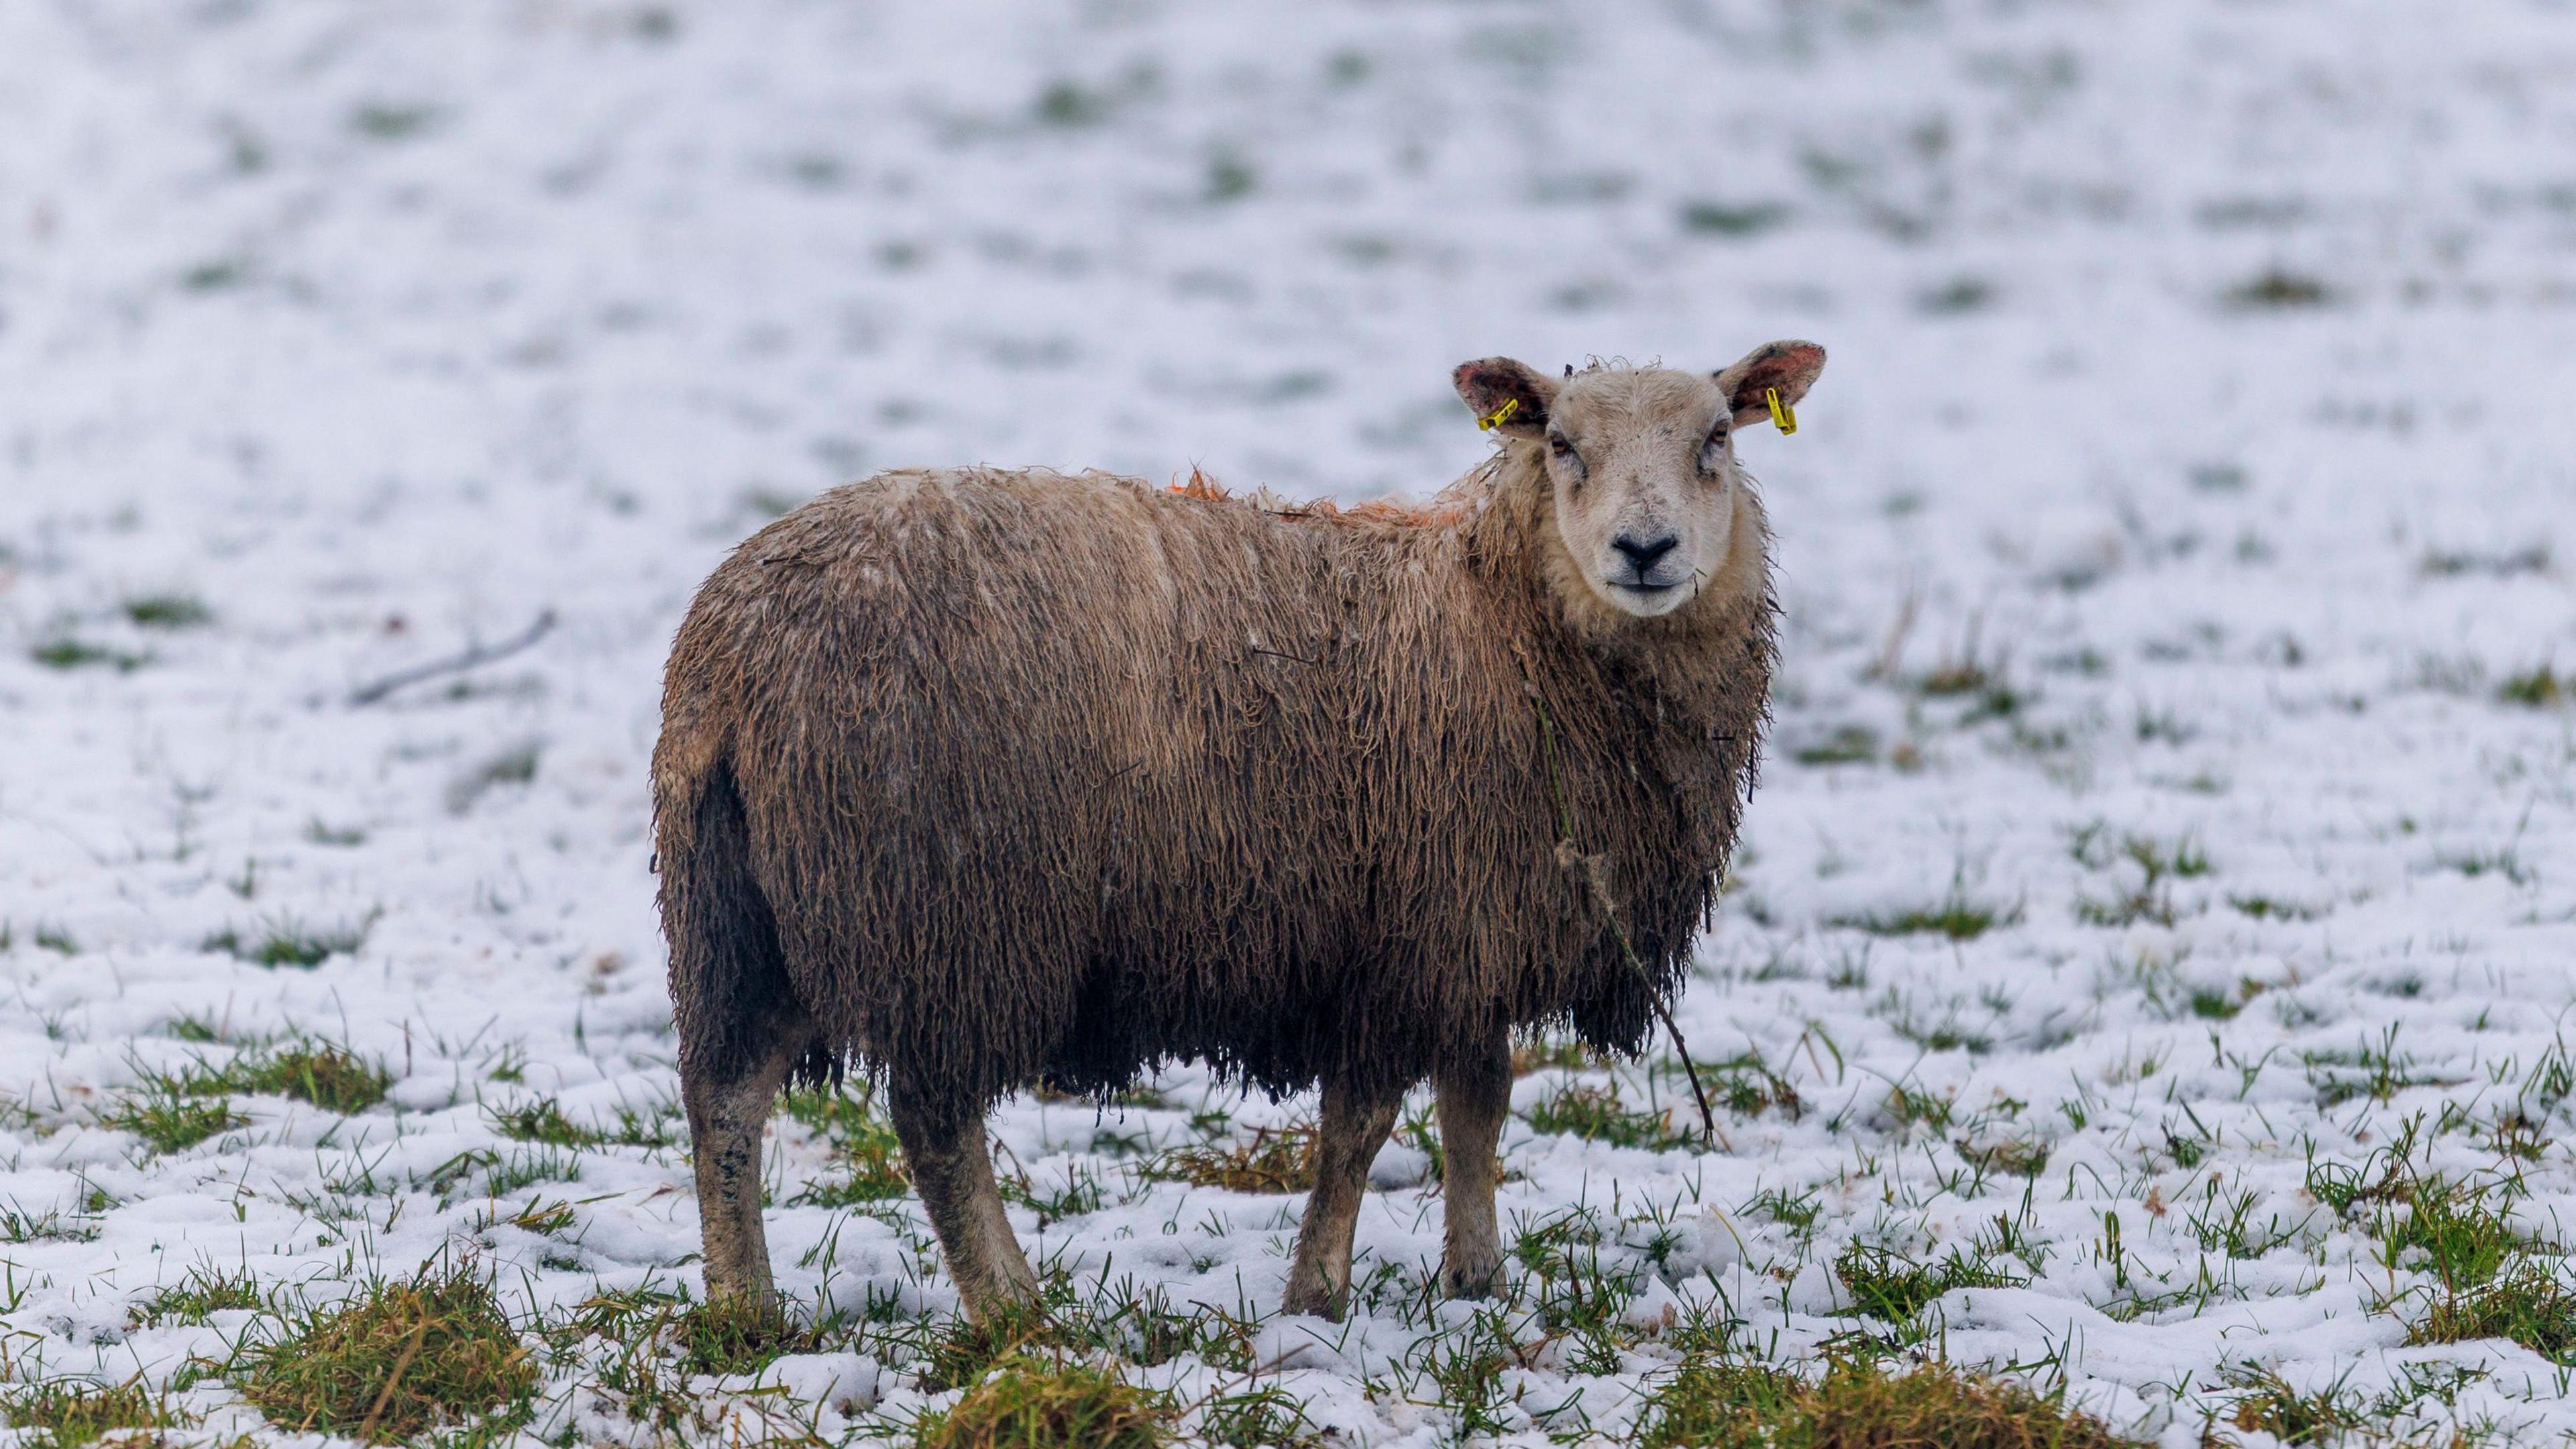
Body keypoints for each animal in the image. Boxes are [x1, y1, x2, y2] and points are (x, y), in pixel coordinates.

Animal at [652, 342, 1825, 1322]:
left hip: (737, 909)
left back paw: (745, 1311)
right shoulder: (1405, 935)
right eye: (1564, 445)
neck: (1510, 620)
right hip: (950, 904)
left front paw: (1477, 1278)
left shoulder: (1468, 933)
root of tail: (736, 655)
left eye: (1716, 440)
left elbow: (1476, 1106)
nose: (1645, 548)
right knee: (933, 1120)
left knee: (724, 1099)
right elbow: (1360, 1125)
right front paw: (1318, 1291)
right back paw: (1012, 1310)